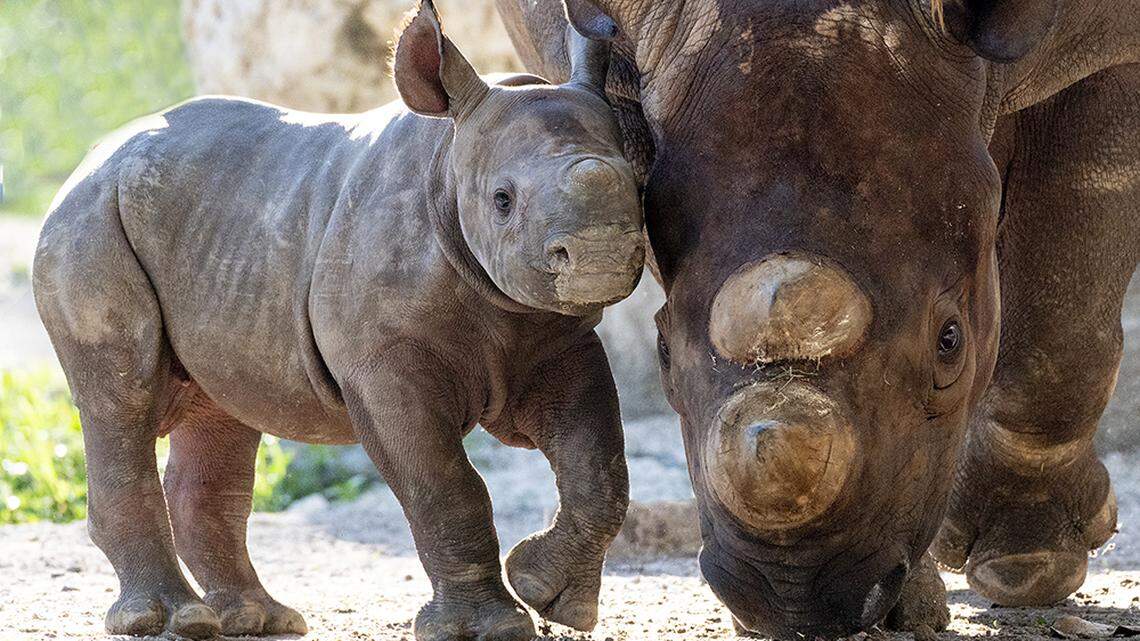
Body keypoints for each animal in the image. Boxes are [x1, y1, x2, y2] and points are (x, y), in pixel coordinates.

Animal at [32, 2, 644, 639]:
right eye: (502, 200)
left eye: (641, 183)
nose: (599, 255)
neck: (448, 162)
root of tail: (92, 157)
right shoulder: (381, 361)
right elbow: (445, 487)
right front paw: (491, 626)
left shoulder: (558, 338)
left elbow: (600, 468)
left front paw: (552, 597)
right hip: (89, 223)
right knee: (120, 401)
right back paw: (173, 618)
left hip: (213, 233)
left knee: (220, 409)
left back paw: (260, 618)